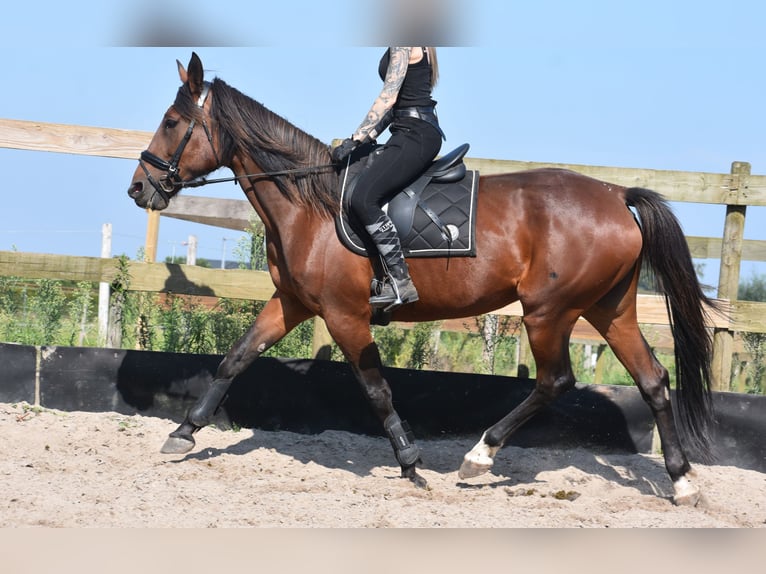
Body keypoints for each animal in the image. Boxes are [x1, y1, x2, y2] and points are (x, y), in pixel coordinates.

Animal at [127, 51, 720, 506]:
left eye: (173, 122)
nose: (138, 188)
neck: (308, 205)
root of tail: (618, 196)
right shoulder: (292, 302)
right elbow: (237, 357)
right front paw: (183, 433)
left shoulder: (344, 314)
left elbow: (376, 388)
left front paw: (411, 464)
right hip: (609, 307)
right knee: (653, 379)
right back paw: (683, 483)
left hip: (549, 311)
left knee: (555, 381)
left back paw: (478, 457)